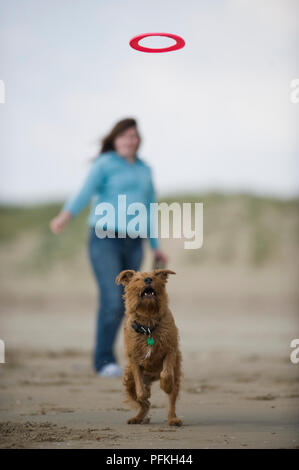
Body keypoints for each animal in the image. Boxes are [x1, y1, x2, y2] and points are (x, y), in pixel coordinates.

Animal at [116, 268, 183, 426]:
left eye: (154, 276)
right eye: (137, 279)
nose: (148, 279)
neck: (148, 324)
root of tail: (153, 377)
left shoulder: (170, 349)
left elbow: (166, 373)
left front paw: (166, 385)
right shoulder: (133, 358)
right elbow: (140, 390)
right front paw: (144, 394)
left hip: (176, 374)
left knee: (172, 401)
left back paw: (173, 419)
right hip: (128, 380)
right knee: (144, 404)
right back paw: (138, 417)